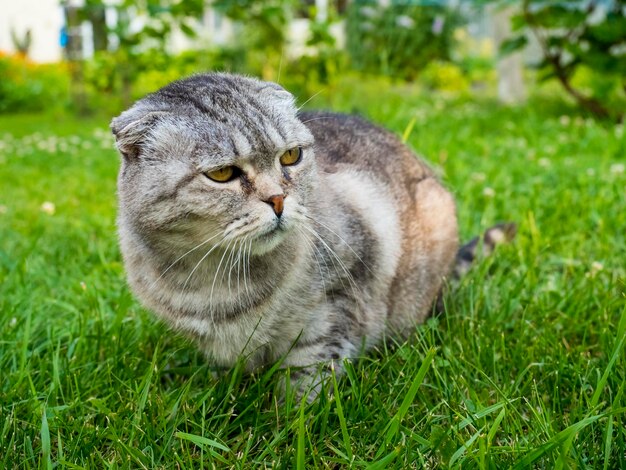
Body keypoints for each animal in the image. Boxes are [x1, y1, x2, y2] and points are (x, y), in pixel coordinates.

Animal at [111, 72, 512, 396]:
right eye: (222, 174)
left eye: (291, 156)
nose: (278, 199)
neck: (211, 279)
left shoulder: (336, 302)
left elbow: (308, 378)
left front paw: (292, 424)